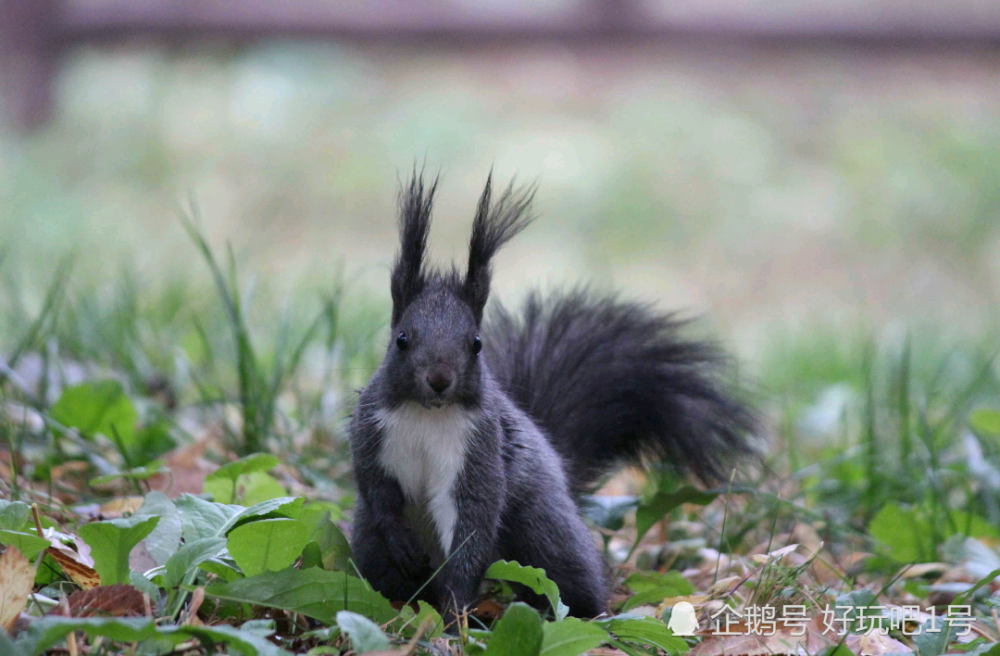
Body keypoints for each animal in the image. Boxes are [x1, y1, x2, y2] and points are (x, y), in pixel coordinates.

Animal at [348, 169, 760, 620]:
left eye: (476, 343)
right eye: (402, 339)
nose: (439, 379)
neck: (429, 412)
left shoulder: (480, 451)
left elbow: (472, 528)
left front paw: (456, 613)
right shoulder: (371, 426)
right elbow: (374, 485)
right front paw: (404, 546)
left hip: (542, 530)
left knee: (568, 574)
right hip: (369, 545)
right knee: (383, 567)